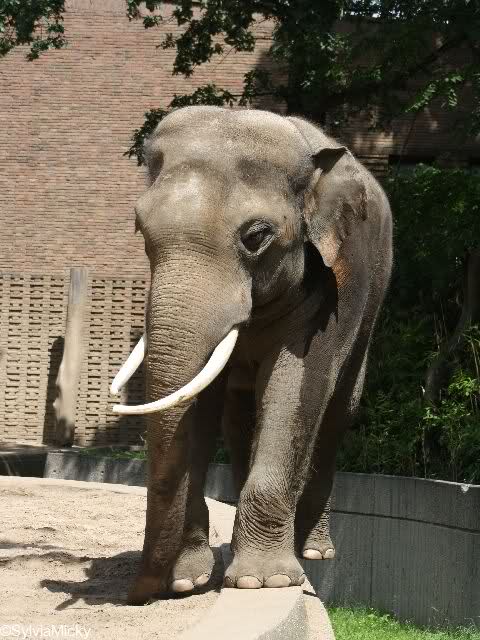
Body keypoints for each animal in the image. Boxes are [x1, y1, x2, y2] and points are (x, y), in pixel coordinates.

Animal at [111, 105, 393, 604]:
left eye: (257, 236)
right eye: (141, 229)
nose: (140, 595)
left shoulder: (331, 286)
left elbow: (296, 387)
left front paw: (265, 582)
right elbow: (199, 404)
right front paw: (189, 580)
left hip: (372, 300)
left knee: (338, 411)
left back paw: (312, 553)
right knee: (240, 417)